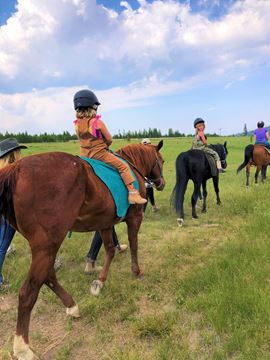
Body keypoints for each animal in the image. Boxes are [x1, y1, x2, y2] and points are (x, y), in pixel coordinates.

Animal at [0, 141, 165, 360]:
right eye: (161, 160)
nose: (161, 183)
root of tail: (16, 168)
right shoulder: (135, 216)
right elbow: (133, 243)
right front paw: (136, 271)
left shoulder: (105, 223)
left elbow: (110, 249)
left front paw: (99, 282)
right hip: (47, 246)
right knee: (29, 291)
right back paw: (22, 347)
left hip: (46, 247)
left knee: (48, 276)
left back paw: (72, 306)